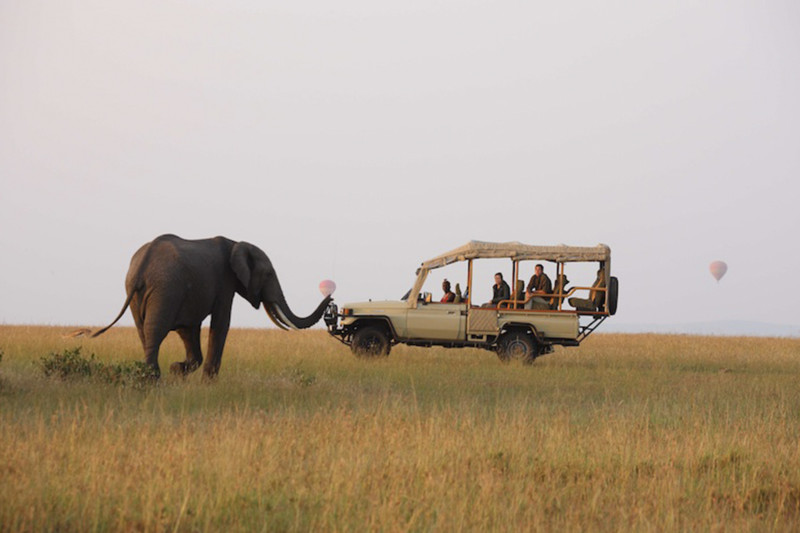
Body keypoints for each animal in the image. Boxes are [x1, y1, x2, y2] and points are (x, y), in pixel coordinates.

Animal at [92, 234, 332, 378]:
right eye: (269, 274)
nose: (330, 296)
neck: (236, 243)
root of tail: (142, 265)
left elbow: (188, 330)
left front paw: (177, 370)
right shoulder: (225, 282)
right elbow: (221, 323)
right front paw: (207, 382)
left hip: (139, 293)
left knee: (143, 332)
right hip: (166, 289)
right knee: (155, 332)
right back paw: (153, 381)